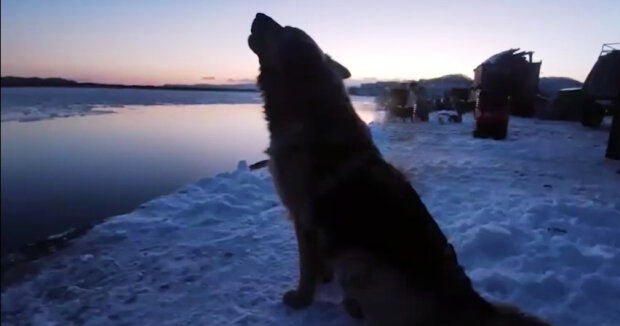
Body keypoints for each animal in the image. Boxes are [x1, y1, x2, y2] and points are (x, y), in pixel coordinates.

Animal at [247, 12, 552, 326]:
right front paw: (322, 280)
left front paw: (301, 299)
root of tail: (473, 305)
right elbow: (319, 263)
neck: (309, 112)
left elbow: (306, 269)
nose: (258, 14)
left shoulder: (304, 219)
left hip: (359, 262)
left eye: (284, 29)